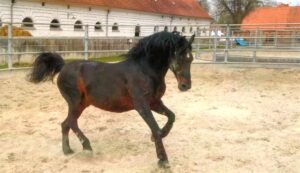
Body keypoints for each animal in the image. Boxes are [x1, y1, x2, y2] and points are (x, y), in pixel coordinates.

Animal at [28, 31, 195, 168]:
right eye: (179, 56)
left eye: (191, 58)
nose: (185, 86)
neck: (145, 71)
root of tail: (63, 67)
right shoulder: (142, 106)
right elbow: (156, 128)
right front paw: (163, 160)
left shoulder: (155, 102)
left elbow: (171, 117)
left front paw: (156, 138)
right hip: (74, 102)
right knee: (71, 122)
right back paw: (87, 147)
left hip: (82, 104)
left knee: (65, 124)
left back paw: (67, 150)